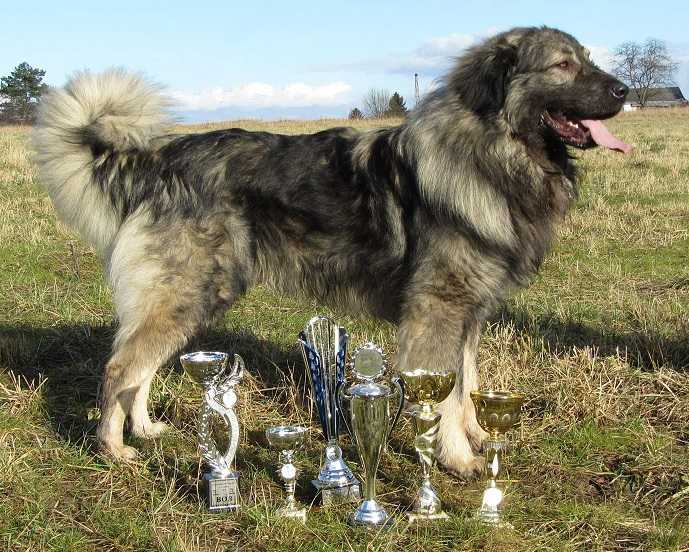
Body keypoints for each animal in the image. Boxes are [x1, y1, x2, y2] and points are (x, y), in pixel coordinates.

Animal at [32, 27, 628, 474]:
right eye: (563, 66)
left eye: (589, 59)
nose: (623, 90)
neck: (489, 151)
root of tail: (160, 162)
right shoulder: (438, 311)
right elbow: (448, 395)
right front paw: (458, 461)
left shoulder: (469, 315)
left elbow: (467, 384)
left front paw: (479, 436)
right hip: (186, 292)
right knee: (121, 367)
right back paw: (113, 449)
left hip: (191, 296)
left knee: (142, 366)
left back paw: (147, 428)